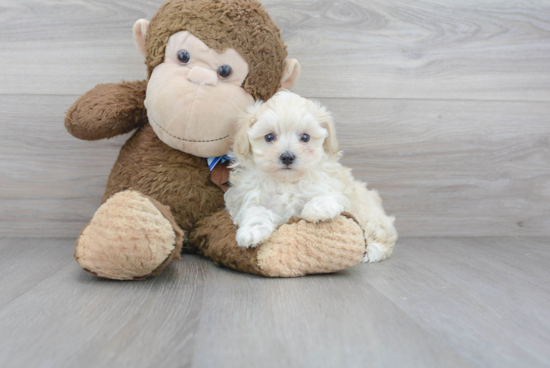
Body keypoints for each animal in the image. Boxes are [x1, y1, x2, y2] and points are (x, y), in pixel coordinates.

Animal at [226, 91, 398, 262]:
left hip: (372, 217)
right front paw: (252, 231)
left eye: (305, 137)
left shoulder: (335, 188)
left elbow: (327, 196)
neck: (286, 182)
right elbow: (255, 211)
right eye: (269, 137)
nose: (287, 157)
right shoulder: (249, 197)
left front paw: (318, 209)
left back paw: (372, 250)